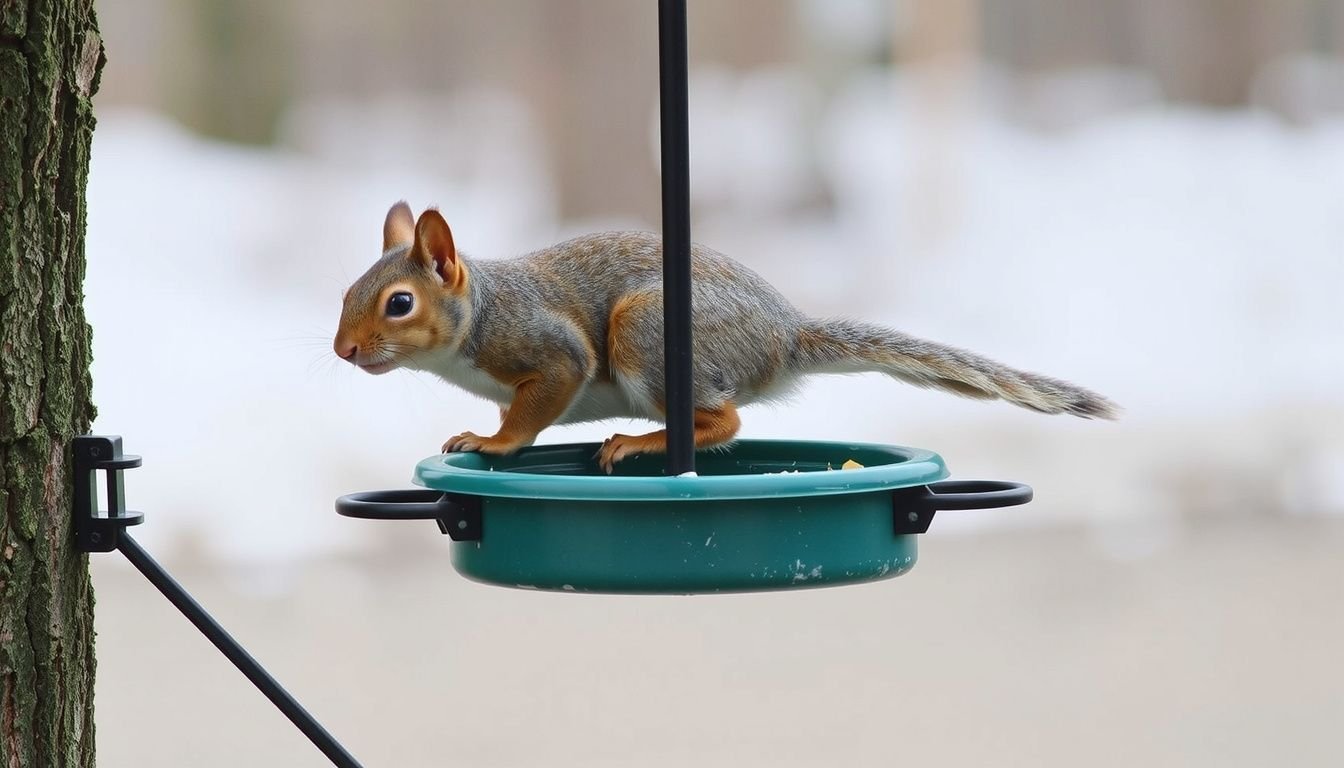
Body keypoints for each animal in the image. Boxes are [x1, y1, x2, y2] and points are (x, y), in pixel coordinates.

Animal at [334, 202, 1117, 473]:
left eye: (399, 304)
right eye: (346, 295)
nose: (344, 352)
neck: (480, 313)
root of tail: (784, 335)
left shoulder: (546, 349)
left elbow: (538, 403)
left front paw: (492, 442)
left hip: (645, 332)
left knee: (727, 419)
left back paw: (641, 442)